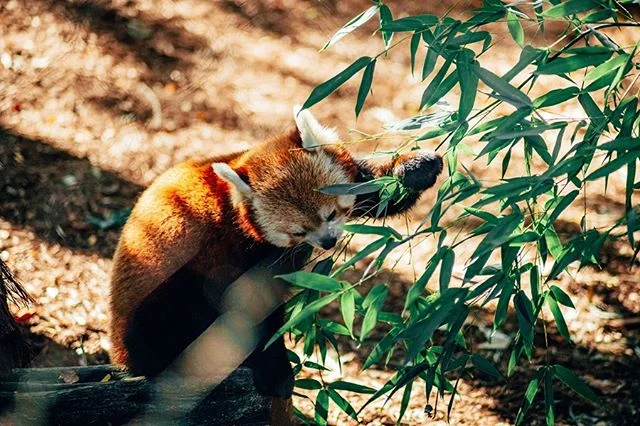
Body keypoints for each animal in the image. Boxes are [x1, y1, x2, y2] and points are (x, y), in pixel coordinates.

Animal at [109, 109, 440, 400]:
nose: (328, 242)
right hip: (158, 296)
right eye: (298, 231)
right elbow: (248, 310)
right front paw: (273, 369)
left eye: (332, 214)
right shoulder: (223, 252)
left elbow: (375, 192)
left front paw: (414, 168)